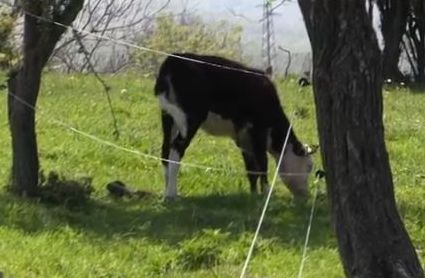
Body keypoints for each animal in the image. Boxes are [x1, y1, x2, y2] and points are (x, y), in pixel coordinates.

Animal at [154, 52, 314, 200]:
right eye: (309, 167)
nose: (306, 195)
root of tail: (173, 59)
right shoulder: (257, 131)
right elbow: (262, 162)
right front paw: (267, 192)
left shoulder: (243, 138)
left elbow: (251, 168)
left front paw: (253, 194)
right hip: (190, 118)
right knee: (176, 149)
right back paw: (172, 194)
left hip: (168, 116)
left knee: (165, 151)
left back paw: (167, 192)